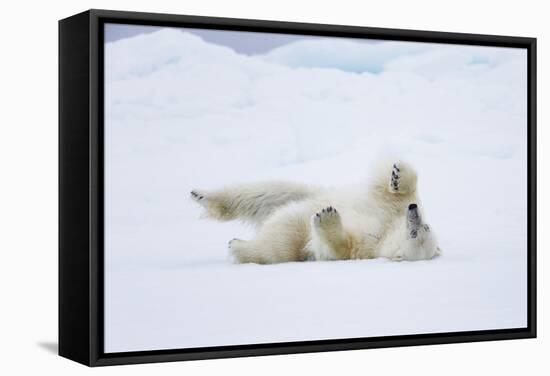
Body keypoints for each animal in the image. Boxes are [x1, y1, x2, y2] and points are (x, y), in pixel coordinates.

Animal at [192, 160, 442, 262]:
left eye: (416, 233)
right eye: (426, 226)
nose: (413, 212)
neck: (387, 231)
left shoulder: (366, 246)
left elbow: (337, 247)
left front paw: (327, 217)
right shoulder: (389, 208)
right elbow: (392, 192)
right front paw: (398, 176)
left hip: (292, 233)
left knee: (280, 241)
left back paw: (238, 245)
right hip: (301, 192)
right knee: (265, 192)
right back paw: (201, 195)